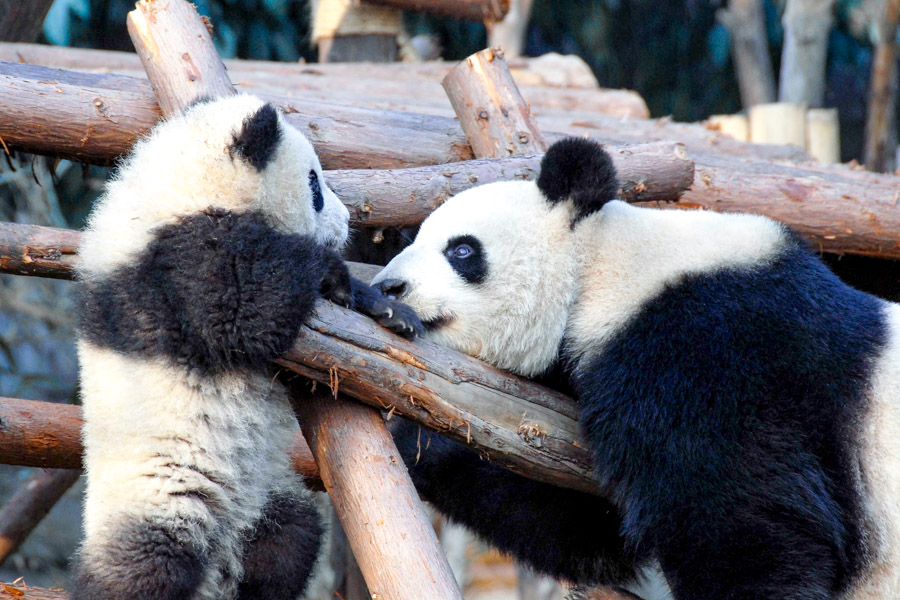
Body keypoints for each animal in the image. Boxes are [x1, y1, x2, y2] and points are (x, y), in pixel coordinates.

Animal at [73, 94, 420, 600]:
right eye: (314, 185)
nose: (347, 222)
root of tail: (221, 555)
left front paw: (390, 309)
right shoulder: (176, 263)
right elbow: (244, 310)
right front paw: (332, 272)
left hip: (269, 493)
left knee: (290, 540)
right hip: (157, 494)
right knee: (146, 569)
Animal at [372, 138, 900, 600]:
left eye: (461, 250)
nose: (387, 288)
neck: (601, 269)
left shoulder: (710, 353)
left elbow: (740, 513)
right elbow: (595, 528)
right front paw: (418, 441)